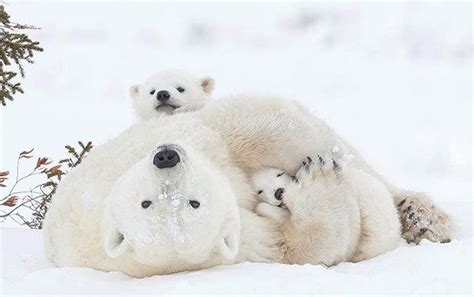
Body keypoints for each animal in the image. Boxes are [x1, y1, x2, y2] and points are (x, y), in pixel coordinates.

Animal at [43, 94, 452, 276]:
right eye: (148, 203)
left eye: (191, 201)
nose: (167, 156)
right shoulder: (240, 243)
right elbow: (298, 246)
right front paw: (318, 178)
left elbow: (251, 130)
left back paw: (422, 215)